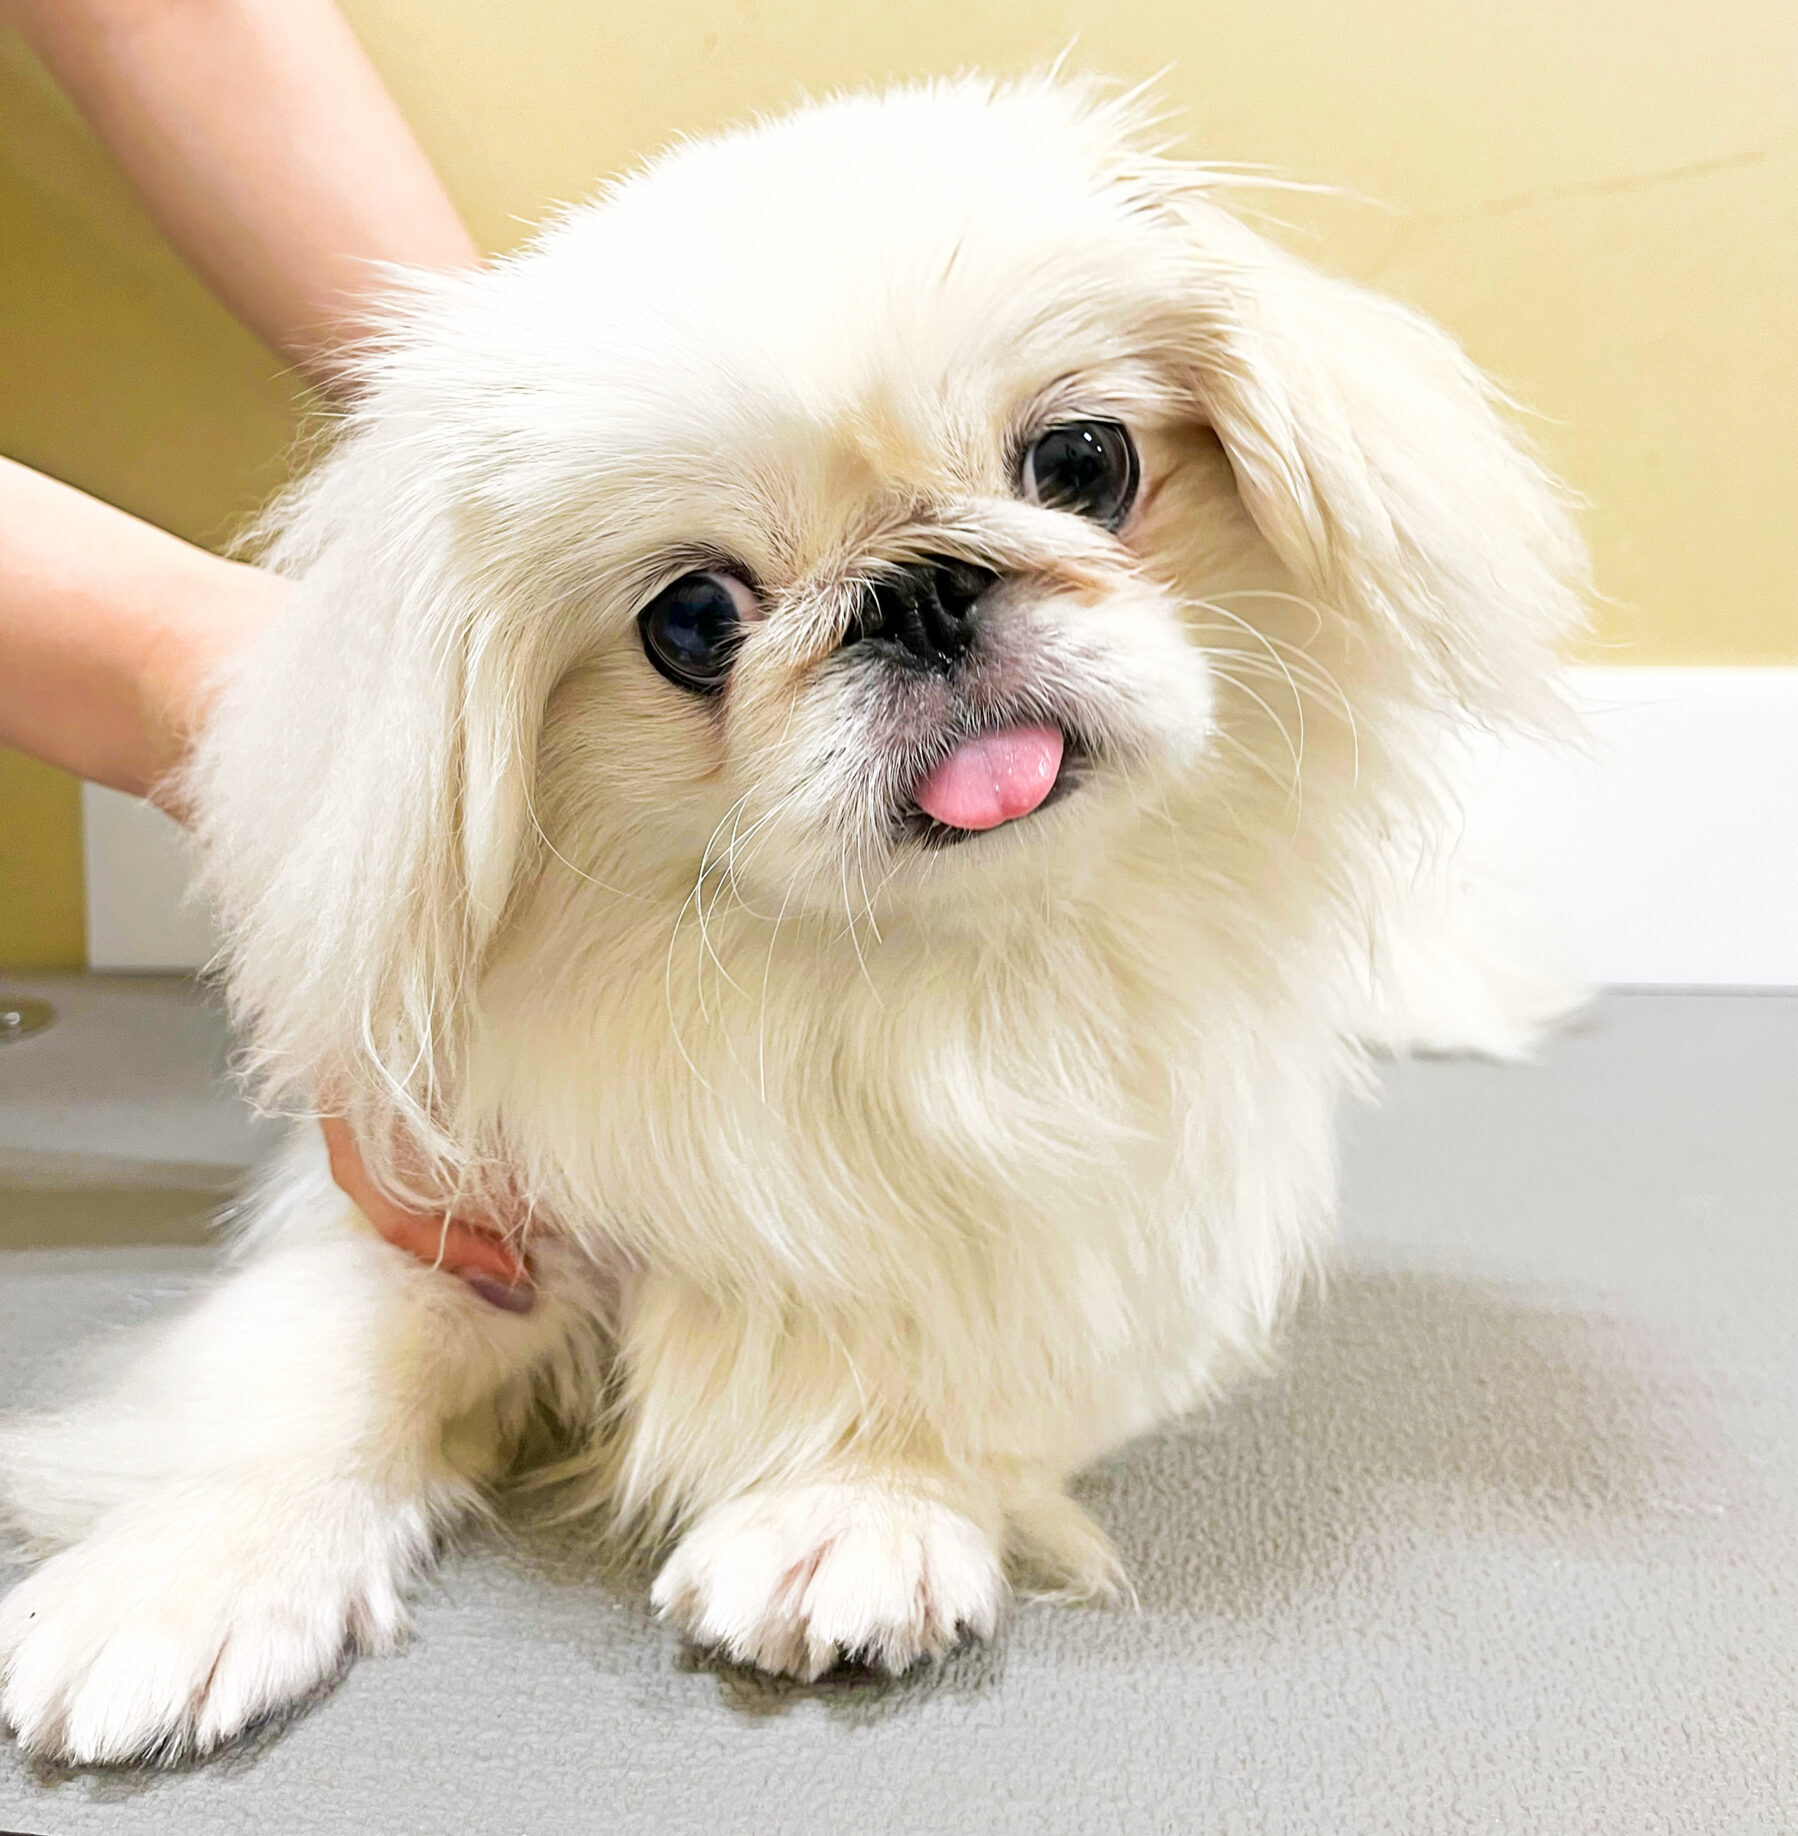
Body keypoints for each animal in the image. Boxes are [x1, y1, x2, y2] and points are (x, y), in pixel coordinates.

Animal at [0, 75, 1585, 1763]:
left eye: (1083, 464)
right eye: (694, 621)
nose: (921, 587)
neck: (881, 989)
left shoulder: (1097, 1226)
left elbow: (947, 1334)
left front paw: (849, 1503)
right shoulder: (441, 1201)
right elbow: (328, 1364)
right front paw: (185, 1577)